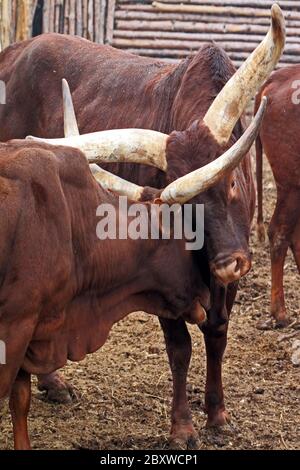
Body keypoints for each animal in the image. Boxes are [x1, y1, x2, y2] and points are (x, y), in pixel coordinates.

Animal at [0, 2, 284, 444]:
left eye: (233, 181)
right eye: (182, 206)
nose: (228, 264)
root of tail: (14, 52)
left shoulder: (228, 280)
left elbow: (218, 336)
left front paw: (218, 416)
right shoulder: (163, 276)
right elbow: (180, 348)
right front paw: (183, 427)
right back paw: (54, 382)